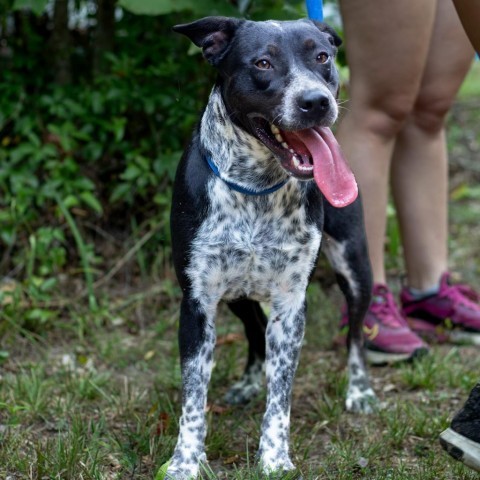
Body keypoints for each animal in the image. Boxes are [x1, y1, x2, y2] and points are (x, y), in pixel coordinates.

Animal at [168, 15, 376, 480]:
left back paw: (359, 390)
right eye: (262, 62)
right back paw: (247, 382)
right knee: (251, 330)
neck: (256, 188)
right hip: (236, 294)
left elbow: (280, 396)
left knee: (355, 334)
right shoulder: (198, 302)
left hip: (355, 266)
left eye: (323, 57)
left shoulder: (290, 303)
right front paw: (185, 461)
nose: (316, 102)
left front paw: (275, 458)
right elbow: (193, 397)